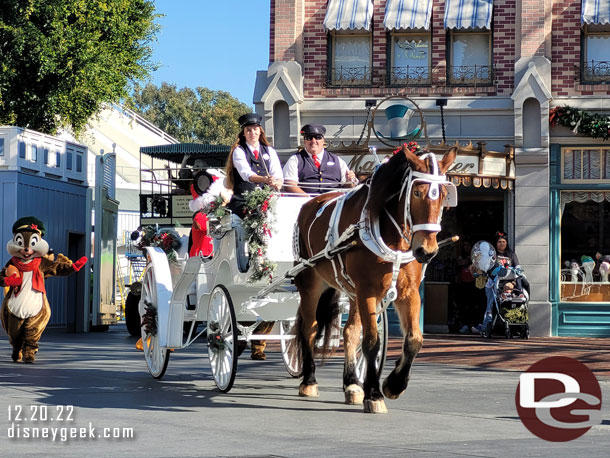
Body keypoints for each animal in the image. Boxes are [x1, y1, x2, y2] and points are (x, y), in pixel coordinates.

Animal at [292, 145, 454, 414]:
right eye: (417, 192)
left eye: (443, 194)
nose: (427, 251)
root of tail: (310, 203)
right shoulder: (368, 291)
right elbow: (371, 342)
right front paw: (375, 393)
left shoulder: (408, 292)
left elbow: (414, 339)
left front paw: (393, 384)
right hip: (310, 283)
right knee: (309, 329)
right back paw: (309, 381)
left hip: (351, 291)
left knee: (349, 332)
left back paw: (352, 383)